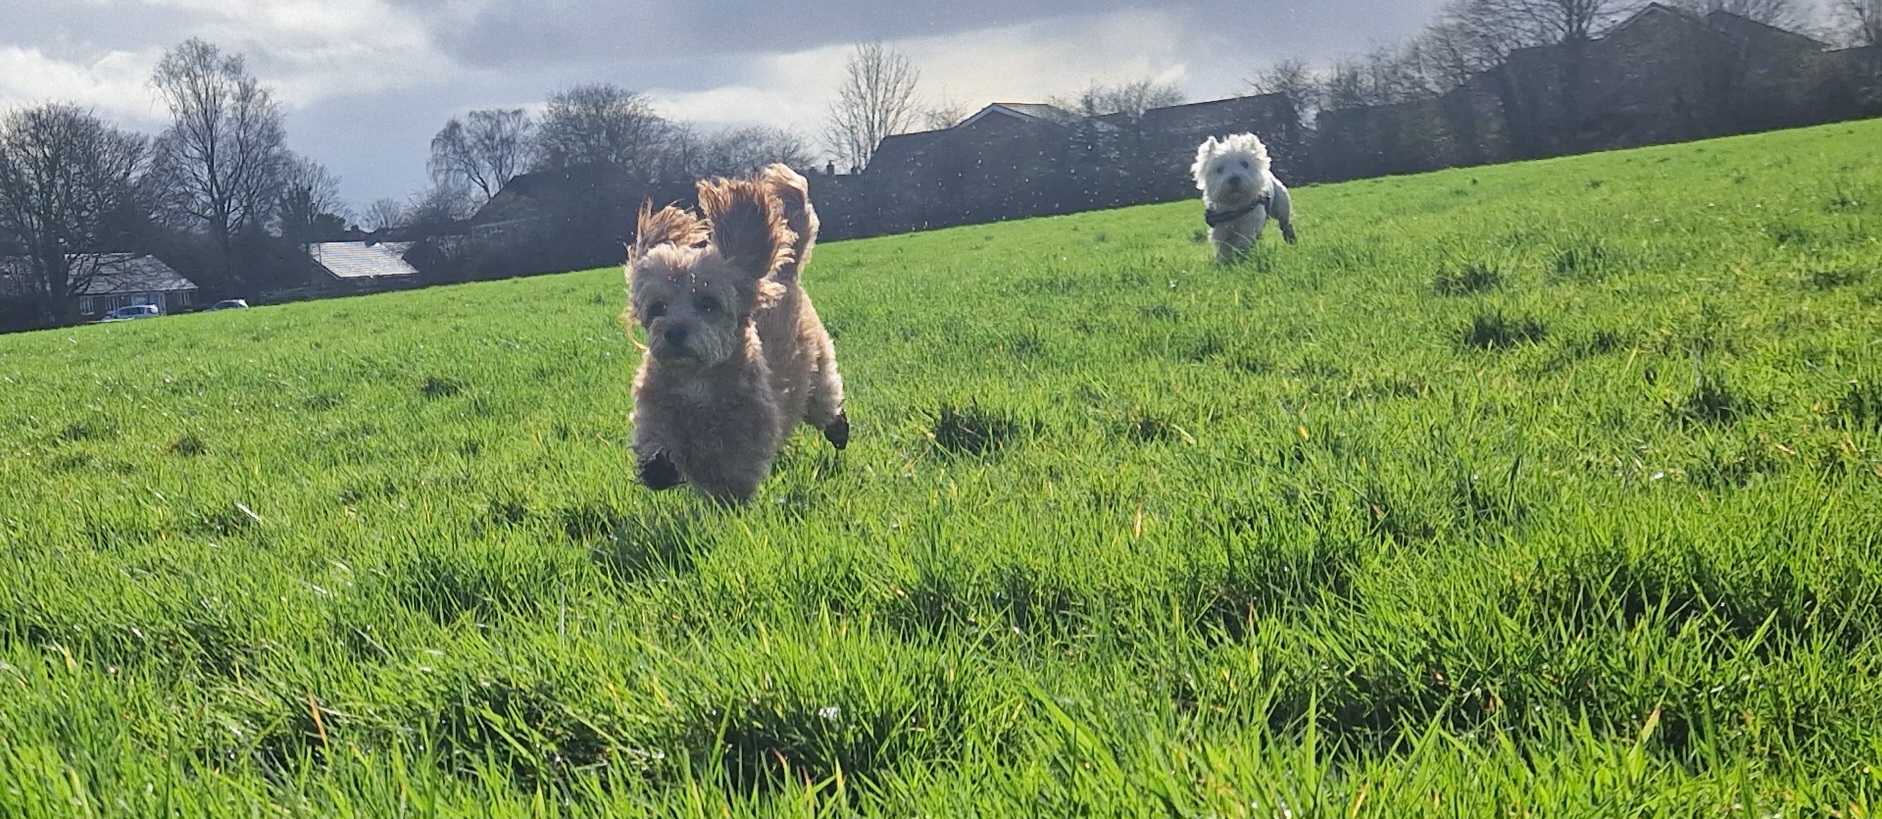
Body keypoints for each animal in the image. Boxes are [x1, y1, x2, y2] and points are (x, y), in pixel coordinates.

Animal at [1189, 132, 1294, 263]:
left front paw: (1239, 255)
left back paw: (1290, 239)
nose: (1234, 179)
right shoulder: (1220, 228)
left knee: (1285, 223)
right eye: (1219, 169)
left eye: (1245, 163)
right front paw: (1224, 260)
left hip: (1281, 206)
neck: (1235, 206)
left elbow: (1242, 241)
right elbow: (1223, 246)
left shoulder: (1250, 224)